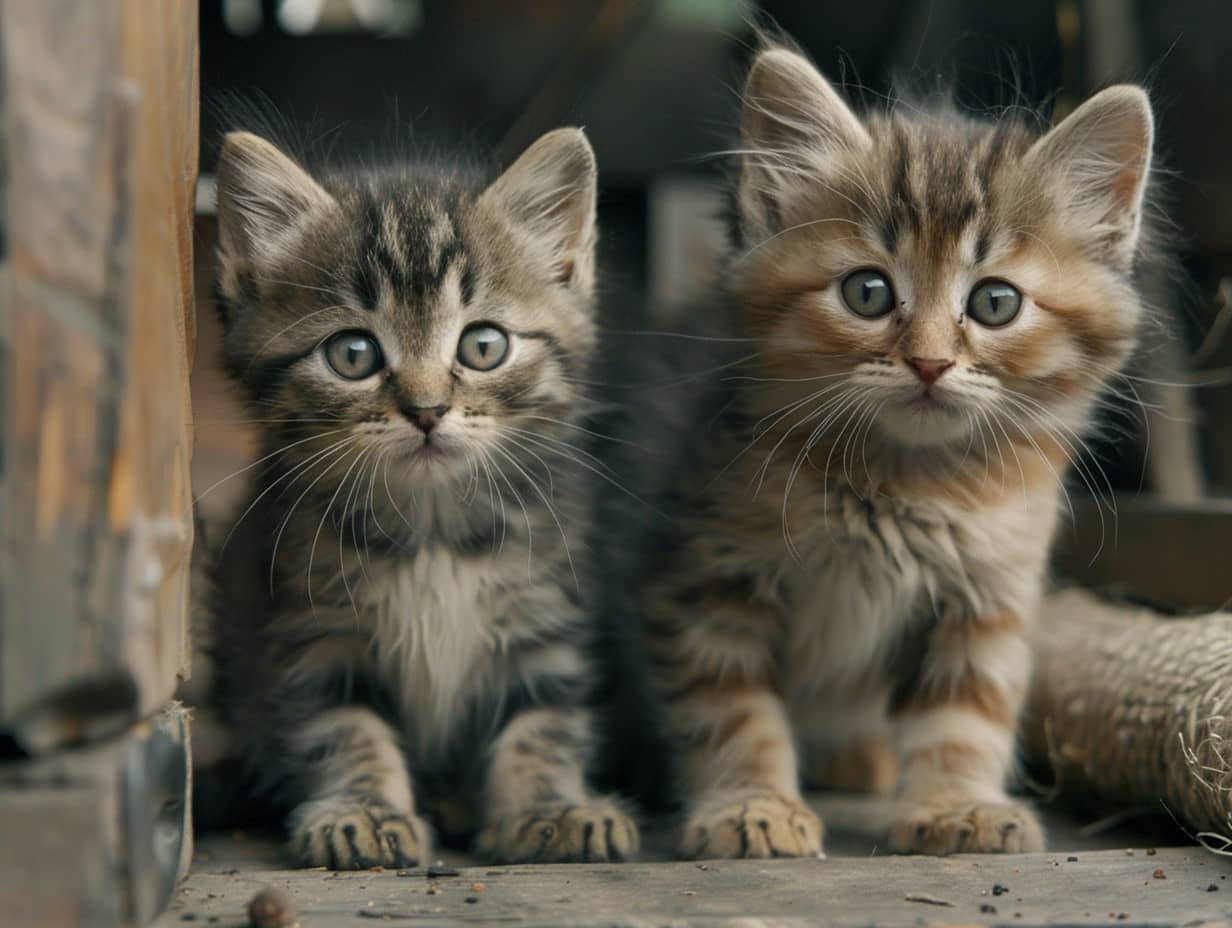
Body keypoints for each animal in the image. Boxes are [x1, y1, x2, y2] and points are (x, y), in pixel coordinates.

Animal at [206, 126, 635, 867]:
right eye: (352, 354)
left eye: (484, 345)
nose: (427, 410)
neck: (433, 527)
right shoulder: (314, 626)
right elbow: (343, 726)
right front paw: (364, 811)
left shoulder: (543, 608)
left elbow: (542, 717)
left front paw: (551, 808)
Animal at [635, 43, 1153, 852]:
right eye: (869, 292)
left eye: (995, 303)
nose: (930, 363)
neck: (907, 479)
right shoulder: (703, 575)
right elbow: (732, 712)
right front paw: (753, 804)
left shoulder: (986, 595)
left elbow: (966, 716)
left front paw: (958, 806)